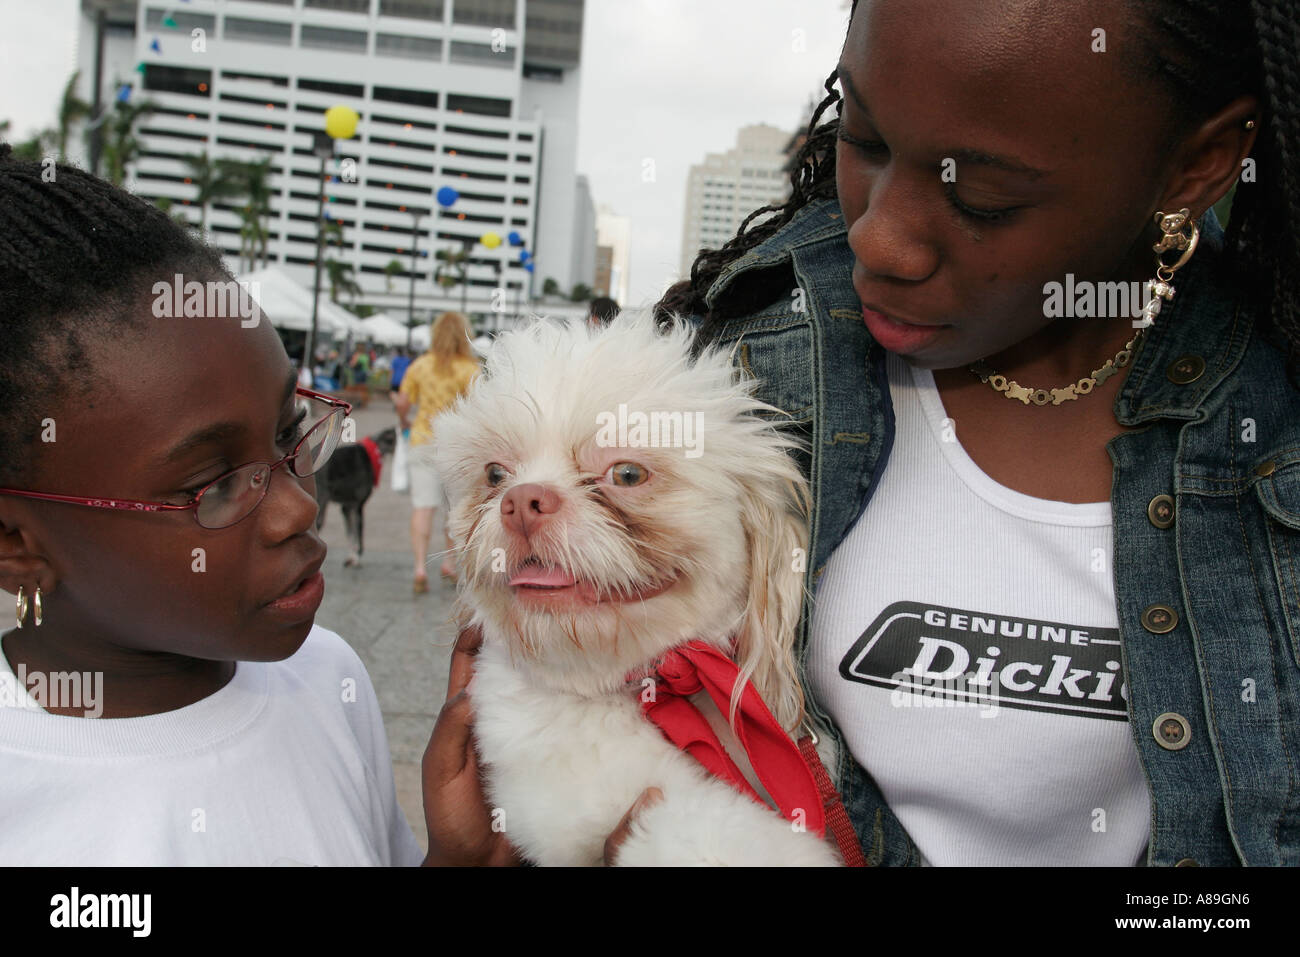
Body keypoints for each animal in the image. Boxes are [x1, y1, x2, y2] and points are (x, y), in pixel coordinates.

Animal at [314, 426, 395, 566]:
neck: (374, 450)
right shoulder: (358, 506)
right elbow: (359, 535)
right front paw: (357, 558)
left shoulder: (346, 507)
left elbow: (350, 535)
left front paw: (351, 558)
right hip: (321, 504)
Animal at [434, 314, 842, 868]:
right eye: (495, 474)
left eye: (627, 474)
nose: (520, 502)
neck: (649, 687)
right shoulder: (582, 807)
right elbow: (702, 830)